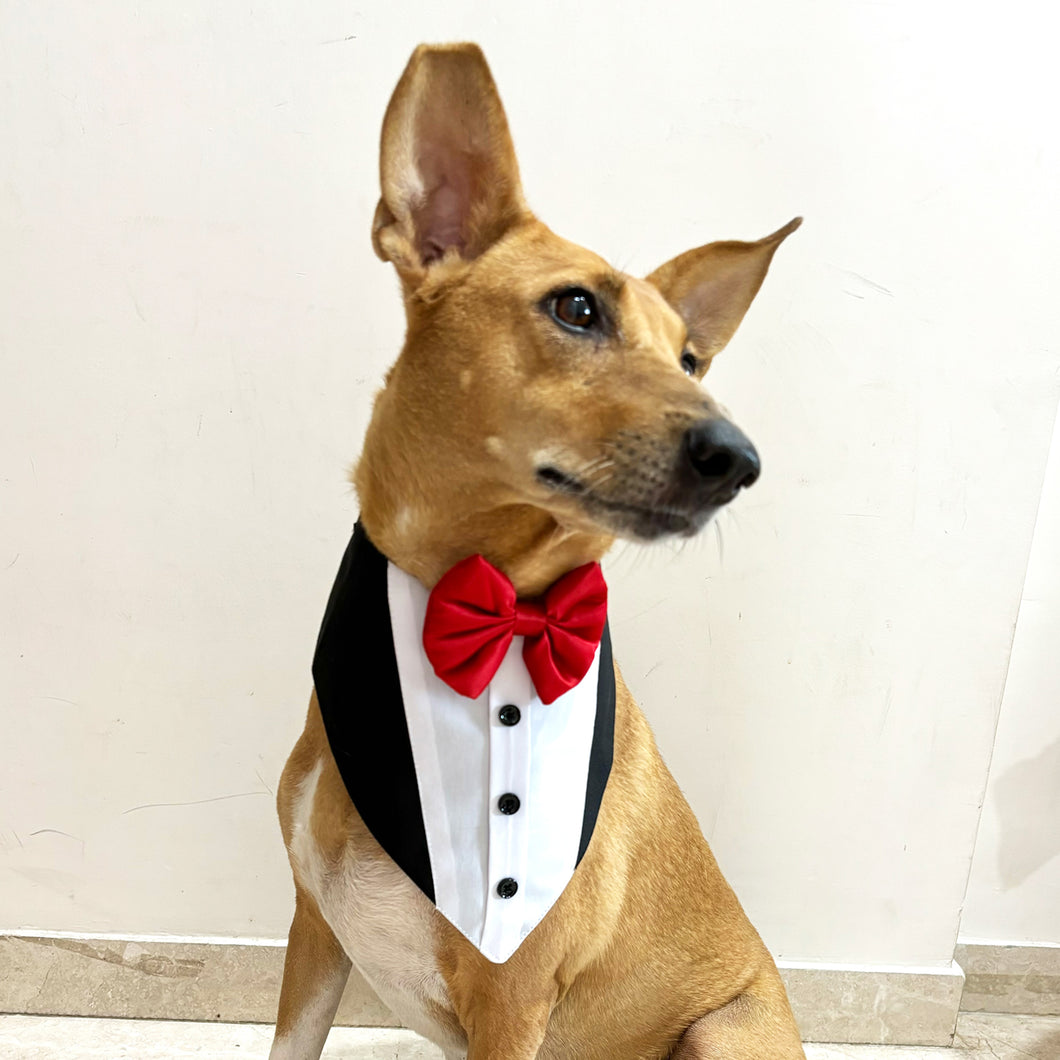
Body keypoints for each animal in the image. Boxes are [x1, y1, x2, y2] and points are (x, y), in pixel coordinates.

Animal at [271, 41, 801, 1060]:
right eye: (577, 309)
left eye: (690, 359)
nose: (738, 459)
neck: (497, 614)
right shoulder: (314, 933)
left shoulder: (513, 998)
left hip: (724, 1029)